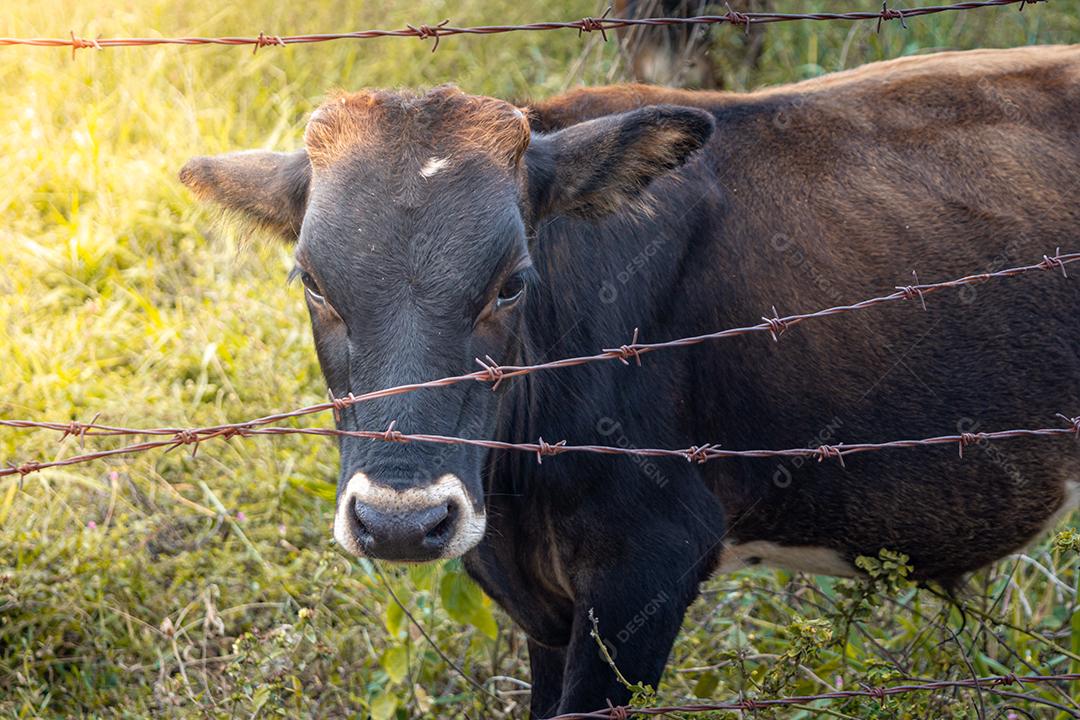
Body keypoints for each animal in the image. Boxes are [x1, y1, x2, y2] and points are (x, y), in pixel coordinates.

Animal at [181, 47, 1080, 716]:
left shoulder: (650, 560)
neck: (519, 490)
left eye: (513, 281)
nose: (401, 522)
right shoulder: (541, 601)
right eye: (311, 280)